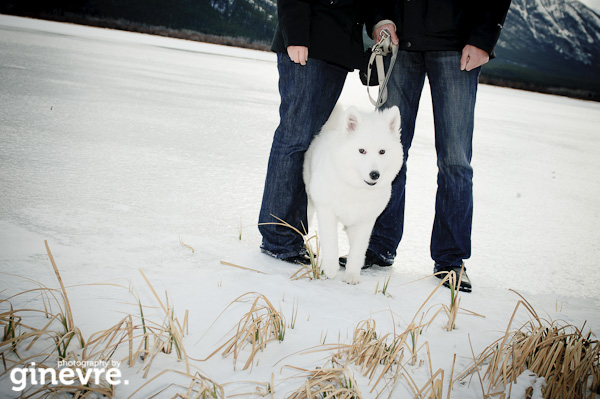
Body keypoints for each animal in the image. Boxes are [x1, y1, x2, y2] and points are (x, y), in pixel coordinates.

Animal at [304, 104, 404, 282]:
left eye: (382, 152)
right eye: (362, 150)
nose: (374, 174)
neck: (356, 188)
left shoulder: (365, 221)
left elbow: (358, 250)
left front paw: (351, 275)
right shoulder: (327, 212)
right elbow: (331, 242)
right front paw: (330, 270)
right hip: (310, 202)